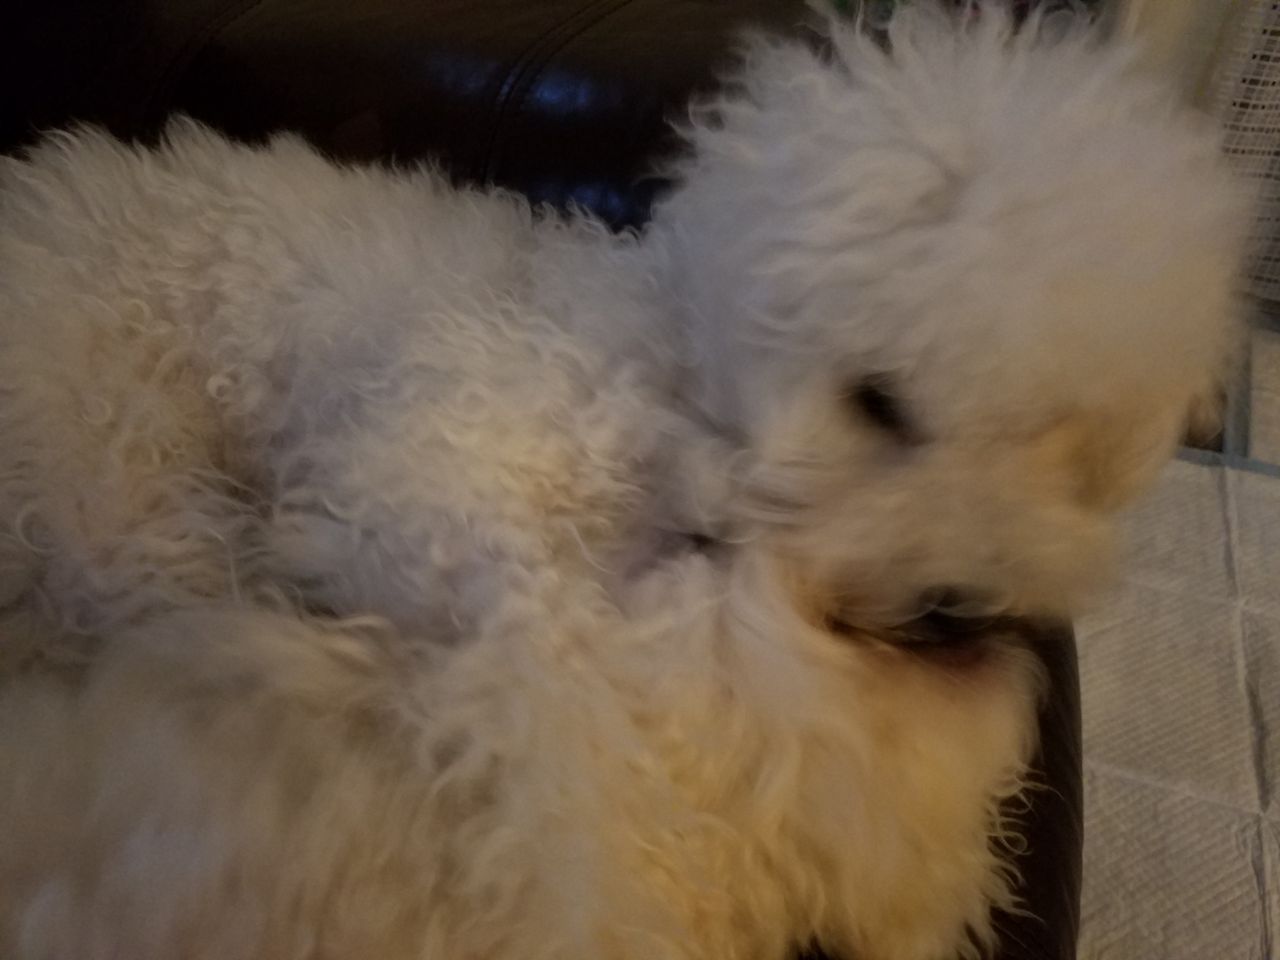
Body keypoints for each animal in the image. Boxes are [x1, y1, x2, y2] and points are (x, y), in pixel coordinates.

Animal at [0, 5, 1245, 959]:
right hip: (124, 498)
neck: (677, 389)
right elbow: (539, 651)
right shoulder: (412, 470)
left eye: (1062, 440)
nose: (962, 609)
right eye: (880, 400)